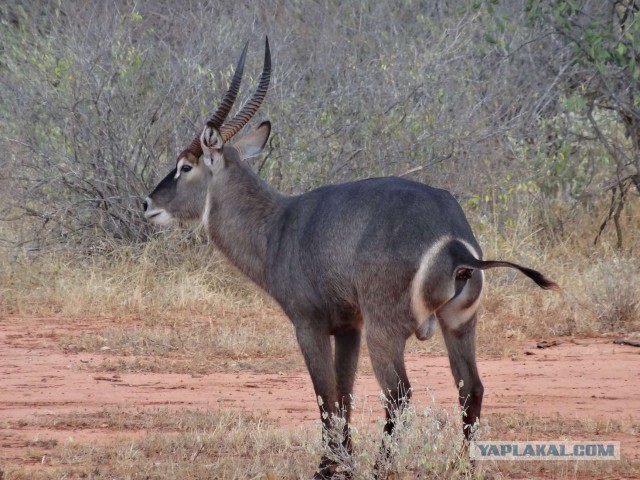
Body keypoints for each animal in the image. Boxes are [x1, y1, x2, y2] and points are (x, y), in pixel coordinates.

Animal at [142, 37, 556, 476]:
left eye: (185, 166)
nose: (148, 204)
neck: (277, 226)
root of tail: (453, 242)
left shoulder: (309, 324)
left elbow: (325, 395)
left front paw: (328, 466)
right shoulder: (348, 327)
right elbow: (344, 395)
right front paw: (342, 461)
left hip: (385, 330)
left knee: (400, 395)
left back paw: (381, 468)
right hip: (459, 325)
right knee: (471, 388)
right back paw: (462, 467)